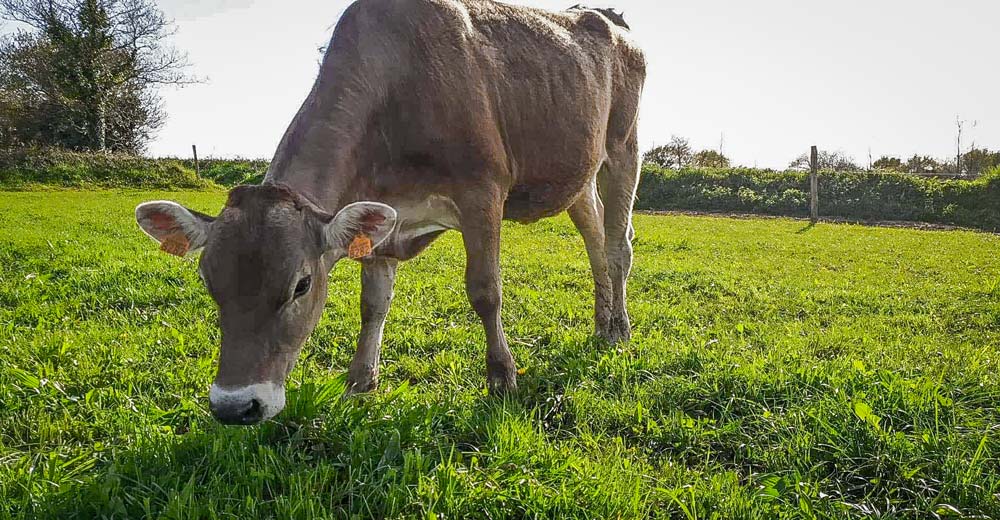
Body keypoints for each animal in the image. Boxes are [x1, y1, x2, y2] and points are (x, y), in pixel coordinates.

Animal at [135, 0, 648, 422]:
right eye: (207, 280)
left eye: (301, 285)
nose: (236, 406)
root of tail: (606, 16)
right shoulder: (381, 211)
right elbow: (372, 304)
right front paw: (359, 381)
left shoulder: (482, 191)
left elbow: (485, 290)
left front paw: (502, 377)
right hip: (576, 176)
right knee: (595, 242)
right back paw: (601, 324)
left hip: (624, 147)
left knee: (617, 246)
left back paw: (619, 329)